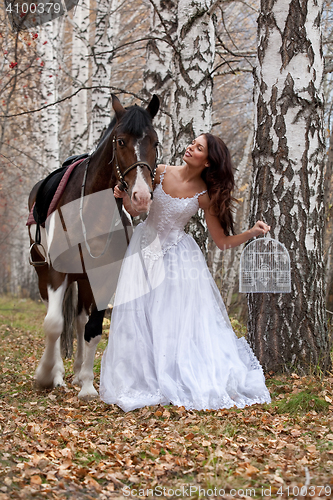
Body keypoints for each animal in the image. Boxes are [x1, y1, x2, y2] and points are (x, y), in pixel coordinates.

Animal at [27, 93, 160, 398]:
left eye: (155, 142)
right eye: (121, 141)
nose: (141, 197)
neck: (90, 210)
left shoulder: (104, 276)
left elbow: (94, 328)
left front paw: (87, 384)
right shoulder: (57, 273)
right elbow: (53, 324)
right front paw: (45, 375)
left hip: (85, 279)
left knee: (78, 320)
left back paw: (77, 373)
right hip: (44, 272)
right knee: (57, 316)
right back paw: (58, 373)